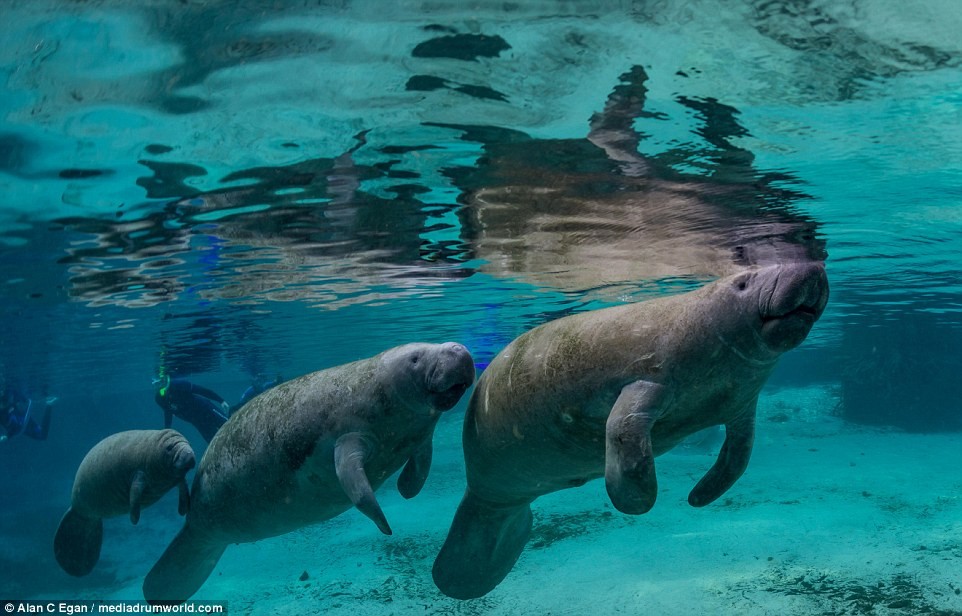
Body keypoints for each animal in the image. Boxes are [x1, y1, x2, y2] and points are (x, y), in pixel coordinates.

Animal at [54, 428, 195, 576]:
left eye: (189, 443)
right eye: (169, 448)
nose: (190, 454)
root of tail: (77, 510)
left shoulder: (178, 477)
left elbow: (184, 489)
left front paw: (183, 510)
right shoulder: (138, 474)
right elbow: (135, 496)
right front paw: (134, 520)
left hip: (89, 517)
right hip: (81, 507)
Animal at [144, 342, 474, 608]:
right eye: (416, 358)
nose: (459, 349)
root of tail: (193, 525)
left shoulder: (422, 437)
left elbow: (420, 470)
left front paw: (406, 490)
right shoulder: (348, 439)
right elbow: (359, 490)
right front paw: (385, 526)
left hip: (207, 537)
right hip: (200, 523)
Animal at [434, 262, 824, 600]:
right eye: (743, 283)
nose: (812, 267)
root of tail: (481, 495)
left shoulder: (743, 405)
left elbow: (738, 458)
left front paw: (698, 498)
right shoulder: (645, 382)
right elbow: (624, 434)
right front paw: (638, 502)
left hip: (503, 499)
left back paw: (462, 580)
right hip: (487, 486)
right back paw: (452, 578)